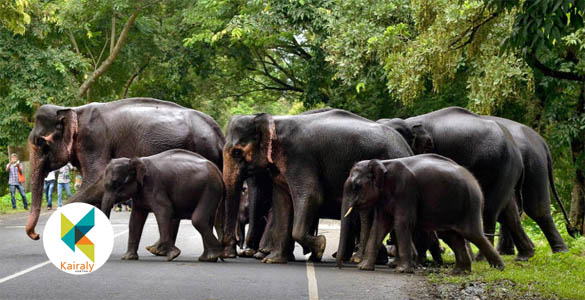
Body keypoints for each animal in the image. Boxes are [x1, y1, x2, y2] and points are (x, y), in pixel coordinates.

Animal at [24, 97, 224, 240]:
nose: (36, 235)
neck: (73, 109)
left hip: (203, 150)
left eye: (40, 142)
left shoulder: (94, 141)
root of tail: (218, 133)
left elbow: (95, 181)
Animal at [220, 109, 410, 264]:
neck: (274, 121)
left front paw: (320, 246)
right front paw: (273, 260)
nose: (228, 254)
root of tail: (406, 147)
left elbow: (311, 196)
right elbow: (282, 202)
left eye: (237, 152)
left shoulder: (300, 158)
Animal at [338, 155, 502, 274]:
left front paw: (402, 271)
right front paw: (364, 268)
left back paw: (498, 268)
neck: (383, 163)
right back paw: (459, 272)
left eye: (356, 186)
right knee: (452, 236)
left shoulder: (406, 191)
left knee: (473, 234)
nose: (340, 266)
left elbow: (402, 223)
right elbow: (380, 225)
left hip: (469, 205)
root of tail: (474, 180)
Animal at [376, 107, 536, 260]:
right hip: (506, 172)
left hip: (502, 167)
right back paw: (525, 255)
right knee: (509, 211)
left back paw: (481, 258)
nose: (389, 244)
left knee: (490, 210)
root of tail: (516, 151)